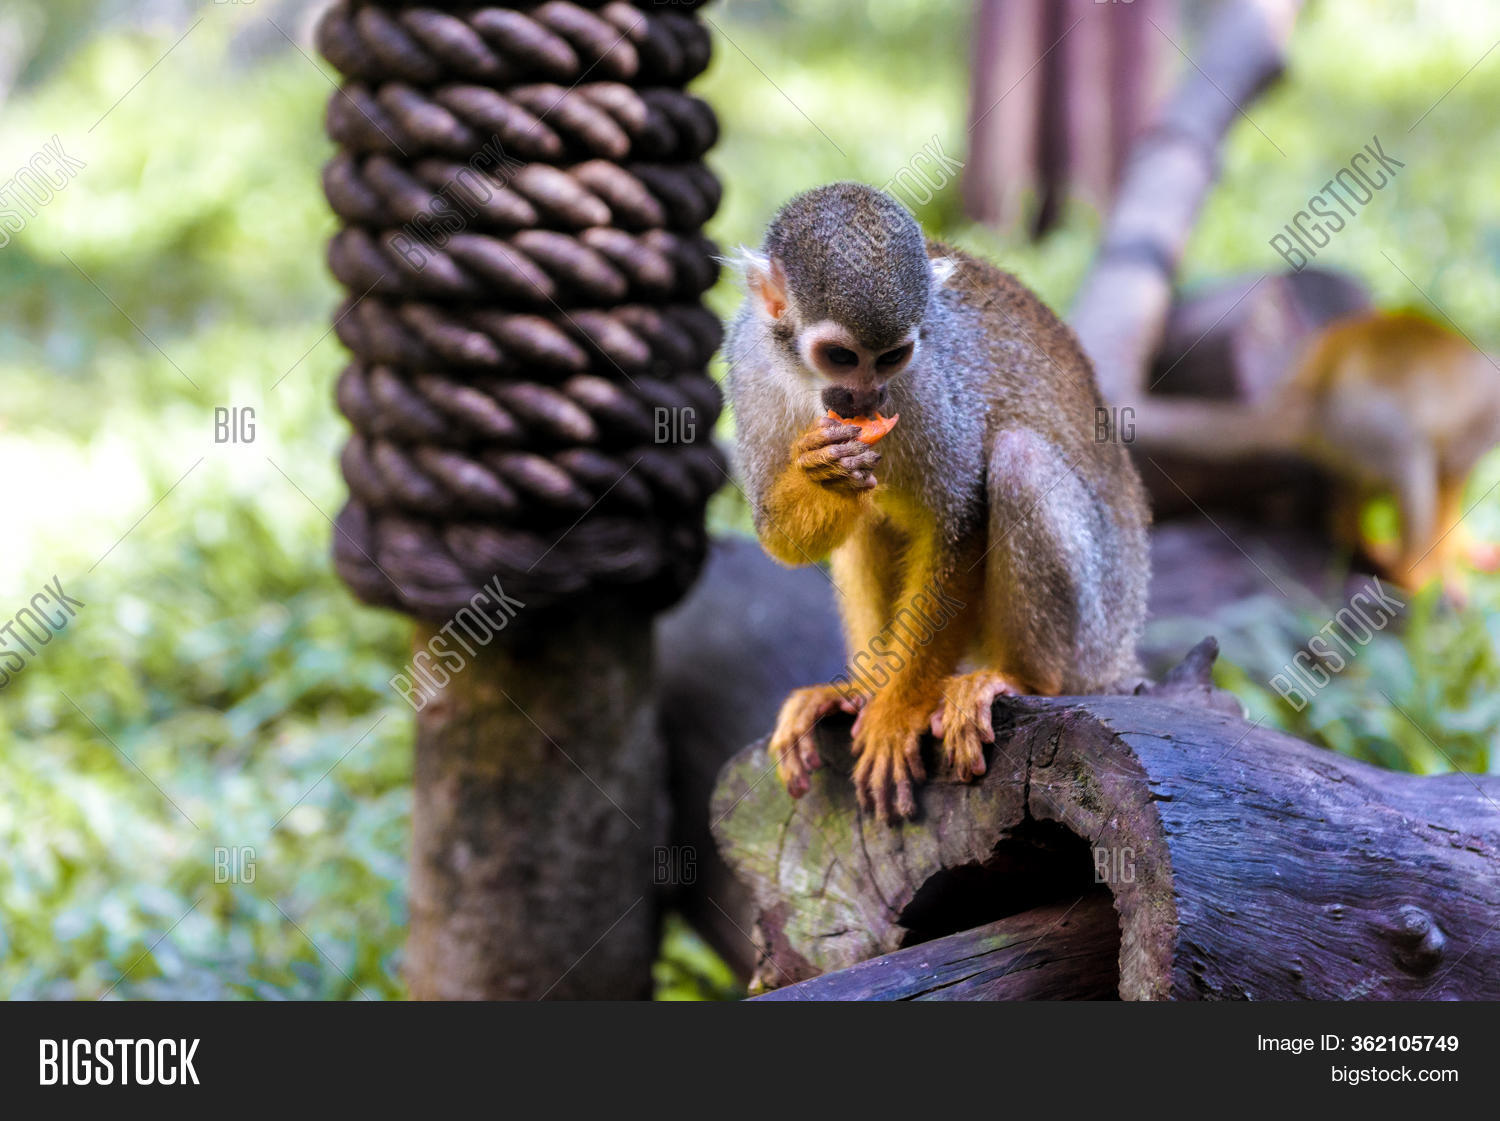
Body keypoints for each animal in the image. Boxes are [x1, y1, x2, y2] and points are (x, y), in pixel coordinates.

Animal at [723, 182, 1151, 822]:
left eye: (892, 358)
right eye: (842, 357)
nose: (864, 399)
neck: (803, 380)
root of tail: (1122, 653)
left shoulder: (929, 384)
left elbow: (957, 526)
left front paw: (898, 711)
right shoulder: (747, 361)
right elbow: (778, 535)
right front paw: (824, 473)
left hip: (1095, 631)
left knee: (1020, 459)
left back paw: (1020, 680)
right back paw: (863, 688)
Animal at [1135, 310, 1500, 598]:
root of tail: (1312, 386)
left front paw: (1462, 550)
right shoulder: (1481, 426)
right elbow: (1451, 477)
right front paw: (1446, 563)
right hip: (1362, 422)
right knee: (1408, 454)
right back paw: (1412, 576)